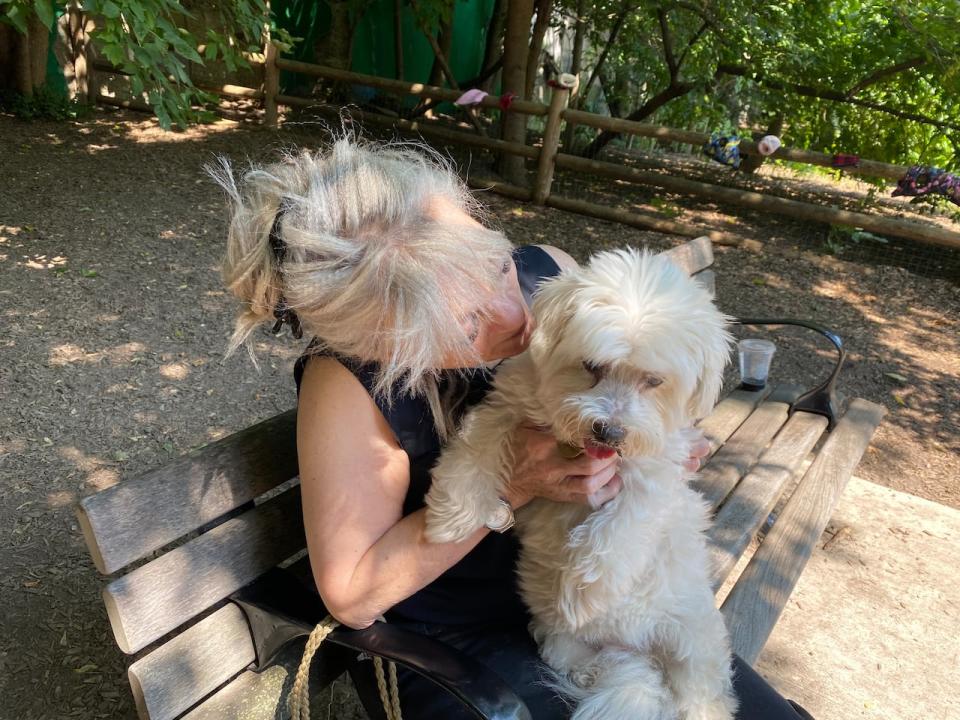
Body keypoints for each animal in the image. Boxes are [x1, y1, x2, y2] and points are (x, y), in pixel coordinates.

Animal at [426, 249, 736, 720]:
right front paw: (453, 514)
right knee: (574, 656)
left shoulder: (653, 477)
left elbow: (619, 527)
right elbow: (477, 444)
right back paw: (590, 673)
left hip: (696, 640)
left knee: (699, 692)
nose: (610, 430)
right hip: (558, 632)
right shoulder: (507, 409)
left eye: (654, 381)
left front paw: (585, 594)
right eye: (592, 367)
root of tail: (632, 650)